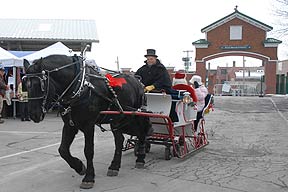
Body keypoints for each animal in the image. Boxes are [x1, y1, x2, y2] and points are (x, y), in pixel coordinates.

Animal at [23, 54, 152, 189]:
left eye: (40, 85)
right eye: (26, 84)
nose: (33, 115)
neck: (80, 86)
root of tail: (138, 81)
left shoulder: (88, 125)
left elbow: (88, 150)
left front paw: (89, 177)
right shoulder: (70, 124)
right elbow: (63, 150)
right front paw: (79, 167)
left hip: (136, 115)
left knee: (141, 133)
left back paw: (140, 158)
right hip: (117, 119)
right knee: (120, 140)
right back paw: (114, 166)